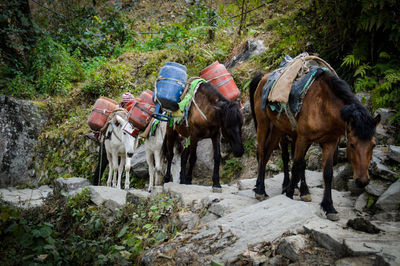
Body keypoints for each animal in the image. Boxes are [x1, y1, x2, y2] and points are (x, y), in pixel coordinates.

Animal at [248, 70, 380, 220]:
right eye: (351, 144)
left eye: (373, 145)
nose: (362, 181)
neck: (324, 105)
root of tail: (264, 77)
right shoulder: (302, 138)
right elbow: (297, 166)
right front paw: (289, 195)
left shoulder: (330, 142)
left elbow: (327, 173)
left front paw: (329, 207)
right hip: (263, 123)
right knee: (261, 153)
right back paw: (260, 190)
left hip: (278, 128)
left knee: (267, 153)